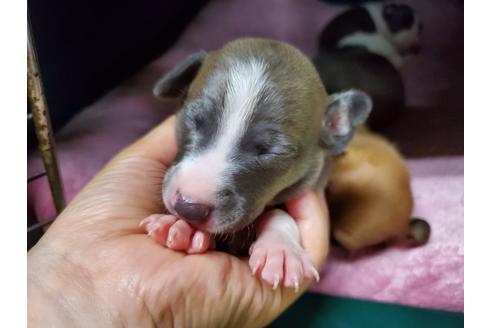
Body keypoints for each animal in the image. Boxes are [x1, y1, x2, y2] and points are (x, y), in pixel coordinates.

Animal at [140, 38, 370, 290]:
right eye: (193, 120)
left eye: (271, 151)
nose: (188, 207)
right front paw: (179, 227)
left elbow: (280, 214)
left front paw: (281, 250)